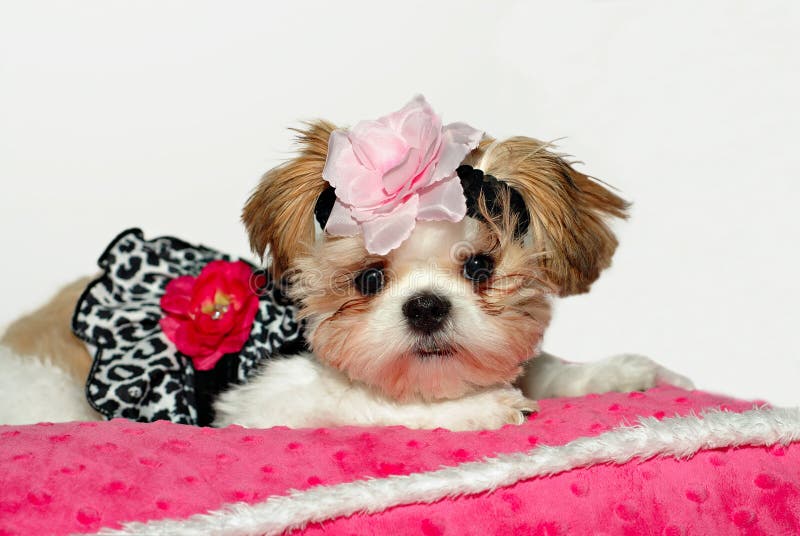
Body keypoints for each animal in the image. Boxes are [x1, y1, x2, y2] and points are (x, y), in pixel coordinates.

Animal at [0, 97, 692, 432]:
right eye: (368, 278)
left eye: (479, 269)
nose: (426, 307)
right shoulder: (262, 401)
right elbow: (370, 402)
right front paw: (474, 409)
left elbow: (542, 367)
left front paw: (612, 373)